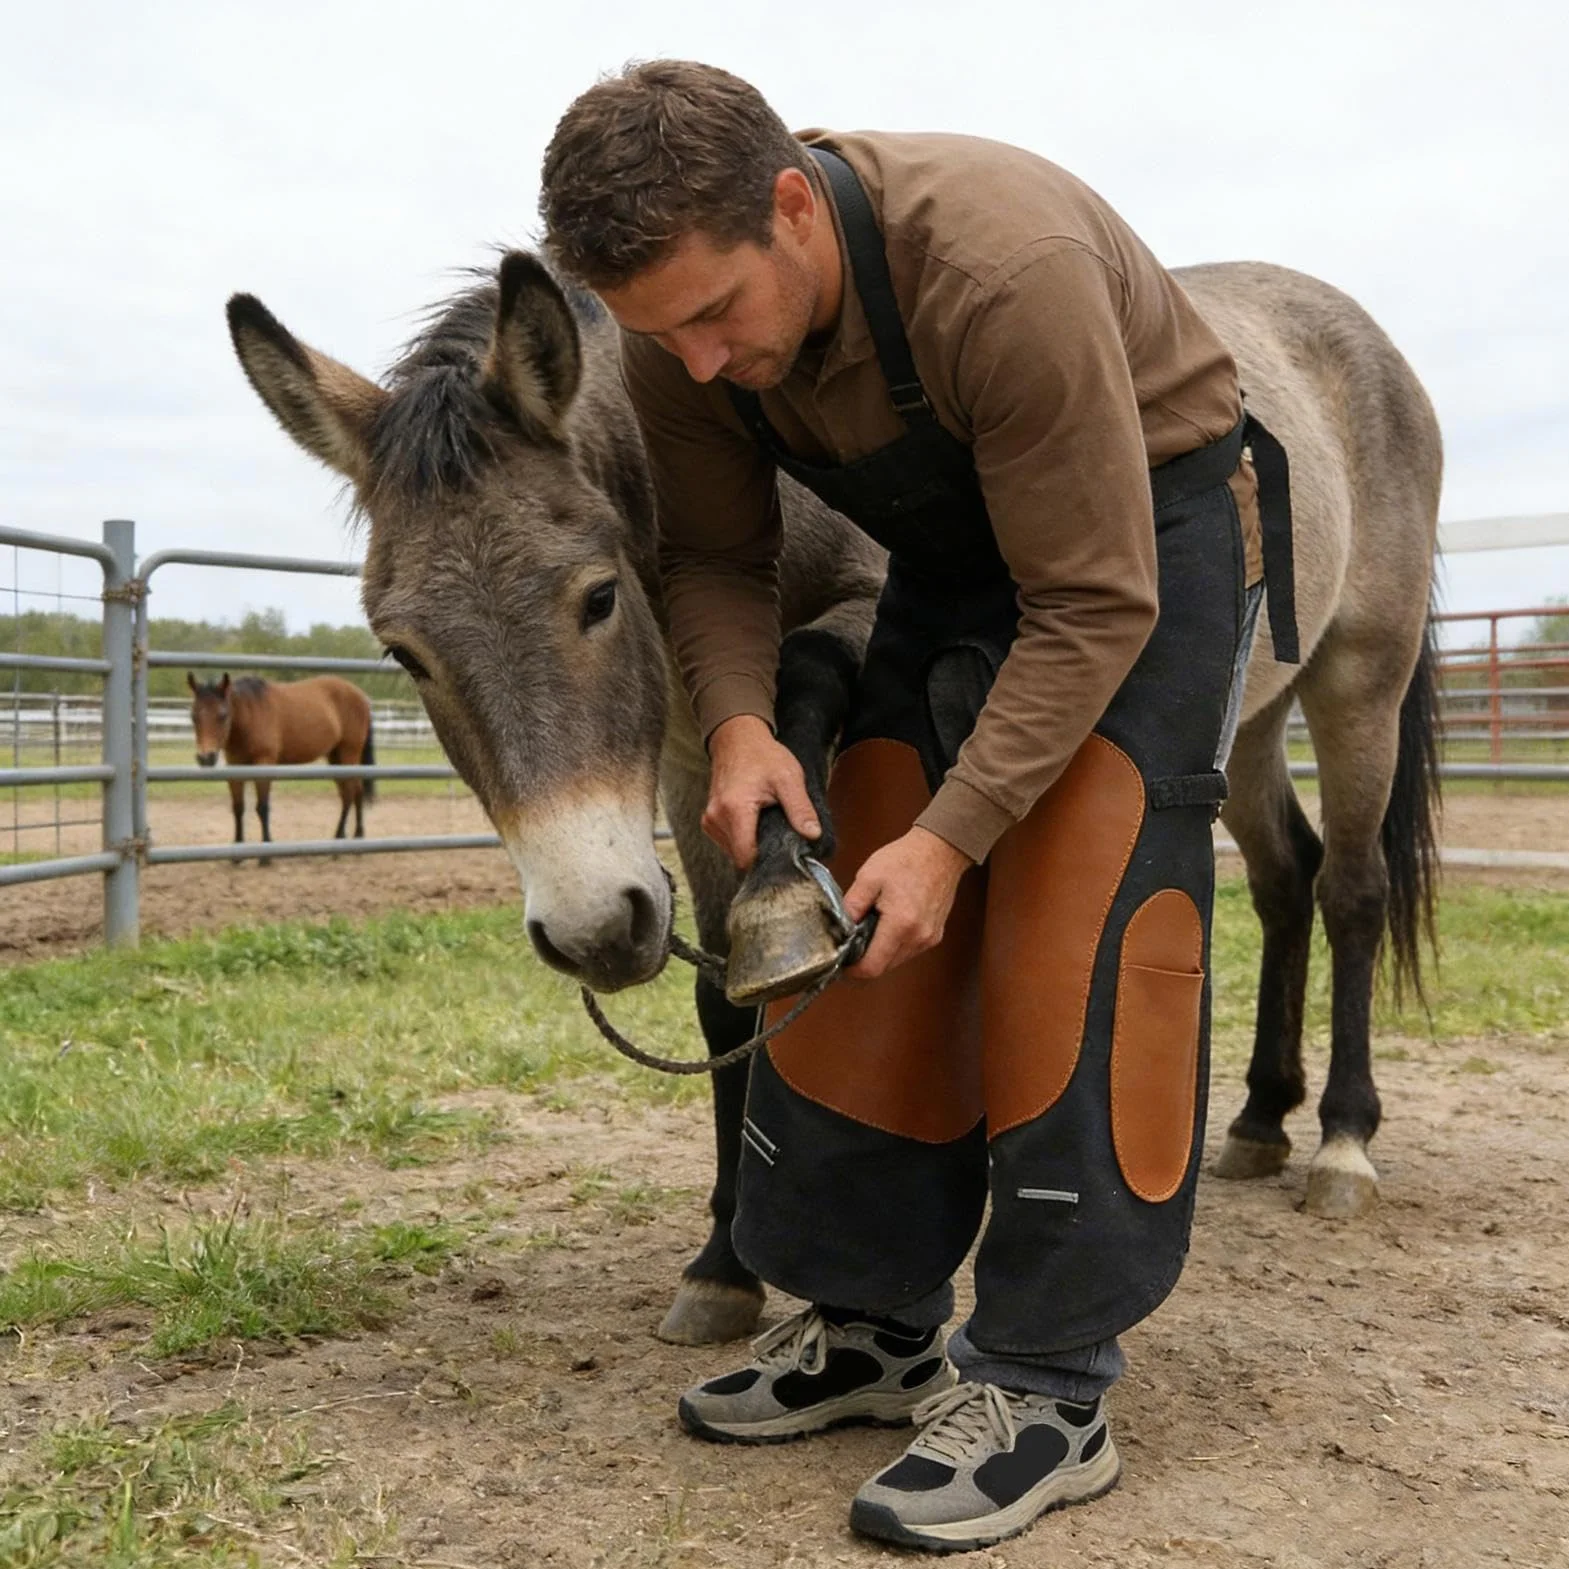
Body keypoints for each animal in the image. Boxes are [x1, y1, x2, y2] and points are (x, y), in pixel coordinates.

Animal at [187, 672, 377, 853]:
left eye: (223, 715)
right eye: (193, 716)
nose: (205, 757)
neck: (251, 714)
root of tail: (361, 696)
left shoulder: (264, 764)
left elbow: (262, 807)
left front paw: (266, 853)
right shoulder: (235, 766)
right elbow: (238, 807)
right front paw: (237, 852)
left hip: (349, 753)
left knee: (350, 793)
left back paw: (341, 838)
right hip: (335, 757)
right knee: (353, 792)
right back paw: (354, 836)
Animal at [225, 249, 1441, 1346]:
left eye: (597, 596)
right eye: (404, 650)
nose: (590, 931)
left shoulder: (876, 628)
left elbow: (812, 676)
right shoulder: (690, 761)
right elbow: (723, 997)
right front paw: (723, 1264)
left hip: (1356, 681)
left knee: (1349, 890)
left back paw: (1340, 1142)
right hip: (1250, 721)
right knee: (1284, 881)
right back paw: (1259, 1117)